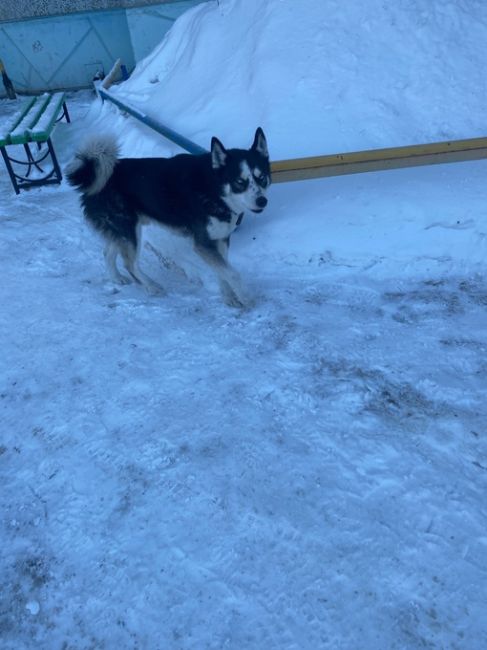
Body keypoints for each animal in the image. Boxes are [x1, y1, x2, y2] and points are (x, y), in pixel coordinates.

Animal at [66, 130, 270, 308]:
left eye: (262, 178)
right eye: (239, 182)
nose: (262, 201)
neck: (214, 188)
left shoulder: (219, 239)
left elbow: (223, 272)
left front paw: (229, 297)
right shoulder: (202, 244)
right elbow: (232, 273)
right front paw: (246, 297)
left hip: (121, 231)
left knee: (108, 253)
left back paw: (116, 278)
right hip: (130, 231)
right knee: (130, 264)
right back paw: (151, 286)